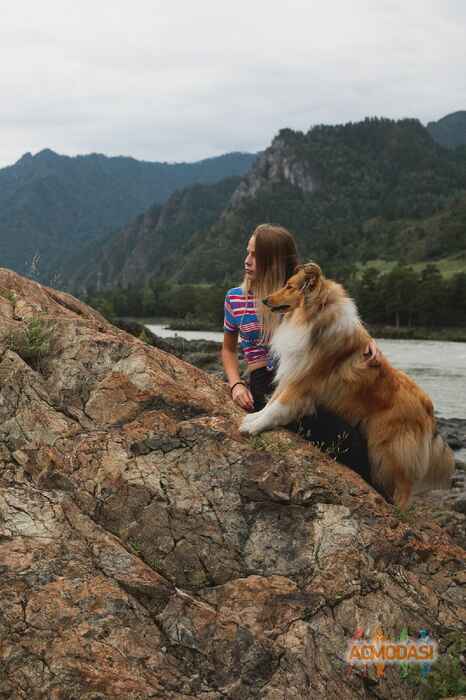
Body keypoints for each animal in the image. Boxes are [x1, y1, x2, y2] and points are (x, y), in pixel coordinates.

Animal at [240, 262, 456, 508]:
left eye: (289, 286)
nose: (265, 300)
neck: (314, 318)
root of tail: (428, 406)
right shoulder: (292, 373)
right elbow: (272, 402)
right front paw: (253, 417)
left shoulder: (303, 382)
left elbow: (278, 406)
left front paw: (253, 427)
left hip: (390, 449)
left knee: (404, 486)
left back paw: (399, 509)